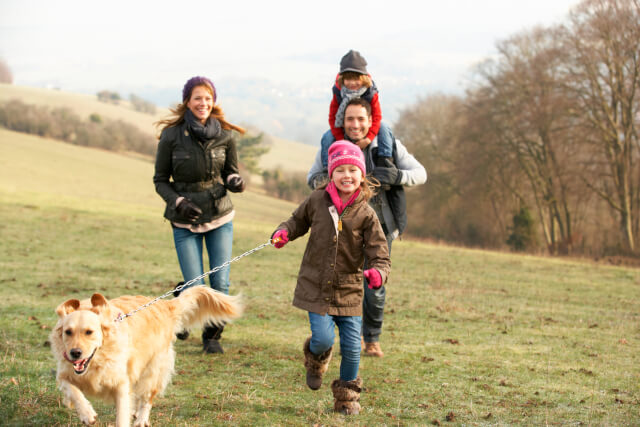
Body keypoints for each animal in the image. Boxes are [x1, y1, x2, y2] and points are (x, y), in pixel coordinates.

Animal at [49, 286, 242, 426]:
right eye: (68, 332)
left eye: (89, 332)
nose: (75, 353)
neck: (97, 360)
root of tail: (164, 305)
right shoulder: (64, 374)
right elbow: (73, 391)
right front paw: (87, 414)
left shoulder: (121, 383)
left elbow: (122, 415)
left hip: (153, 370)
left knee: (147, 398)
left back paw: (141, 419)